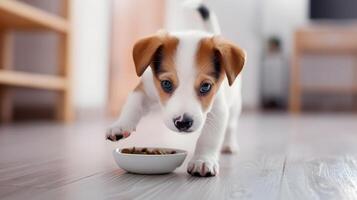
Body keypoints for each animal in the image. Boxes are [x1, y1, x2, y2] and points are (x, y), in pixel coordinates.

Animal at [105, 1, 245, 177]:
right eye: (166, 84)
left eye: (206, 86)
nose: (183, 123)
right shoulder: (145, 88)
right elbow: (132, 106)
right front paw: (121, 125)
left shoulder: (218, 109)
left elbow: (209, 138)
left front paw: (203, 160)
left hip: (235, 105)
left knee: (231, 126)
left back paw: (229, 145)